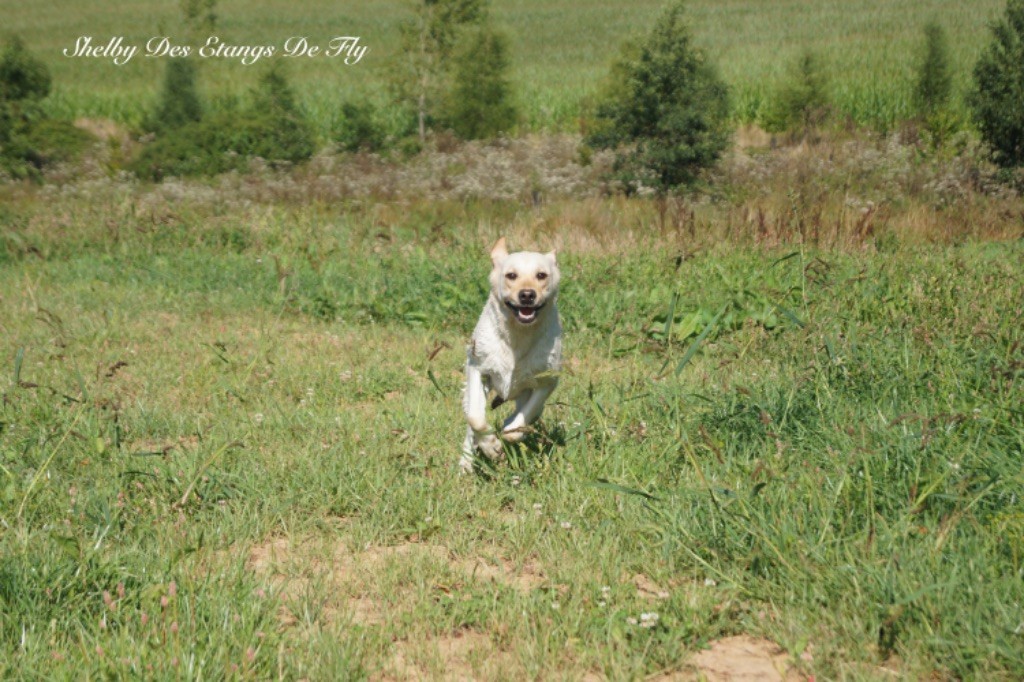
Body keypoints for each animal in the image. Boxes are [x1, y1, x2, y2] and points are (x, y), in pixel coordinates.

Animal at [462, 236, 565, 471]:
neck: (518, 335)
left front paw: (507, 434)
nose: (527, 294)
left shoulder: (546, 381)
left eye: (541, 275)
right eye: (511, 275)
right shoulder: (477, 368)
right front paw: (491, 446)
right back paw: (466, 463)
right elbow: (476, 418)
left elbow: (520, 422)